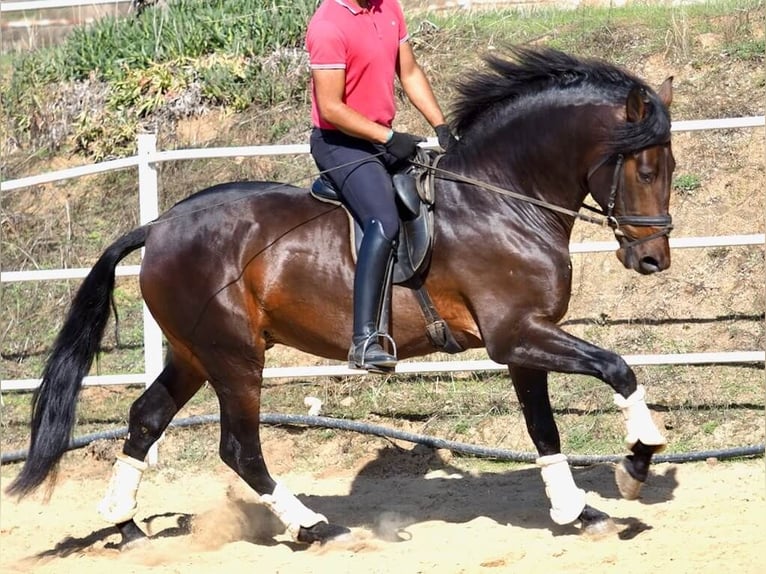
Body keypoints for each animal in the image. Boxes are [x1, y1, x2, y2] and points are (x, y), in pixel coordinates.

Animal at [7, 47, 680, 548]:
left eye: (668, 167)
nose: (652, 260)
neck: (499, 198)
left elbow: (544, 429)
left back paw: (124, 523)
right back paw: (313, 526)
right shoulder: (517, 334)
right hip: (234, 358)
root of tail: (160, 225)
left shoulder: (523, 341)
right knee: (239, 448)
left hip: (194, 353)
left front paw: (579, 512)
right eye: (644, 168)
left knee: (145, 418)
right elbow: (617, 367)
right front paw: (637, 461)